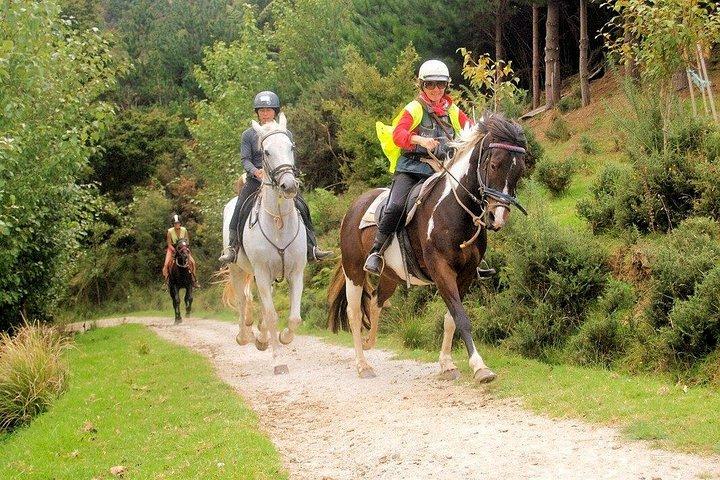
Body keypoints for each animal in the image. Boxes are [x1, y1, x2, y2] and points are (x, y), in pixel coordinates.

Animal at [222, 112, 307, 375]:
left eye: (291, 147)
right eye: (266, 152)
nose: (289, 186)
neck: (278, 221)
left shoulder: (296, 272)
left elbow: (294, 318)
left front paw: (283, 338)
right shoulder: (260, 272)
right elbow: (271, 316)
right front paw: (278, 361)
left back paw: (260, 337)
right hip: (237, 269)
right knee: (242, 301)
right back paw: (244, 336)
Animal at [328, 113, 528, 382]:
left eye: (520, 171)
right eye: (495, 164)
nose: (498, 218)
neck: (453, 209)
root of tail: (354, 207)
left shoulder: (466, 274)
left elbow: (451, 319)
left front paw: (447, 365)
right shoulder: (441, 270)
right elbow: (461, 317)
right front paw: (479, 367)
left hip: (391, 276)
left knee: (376, 301)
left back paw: (370, 342)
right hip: (354, 271)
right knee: (354, 312)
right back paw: (363, 364)